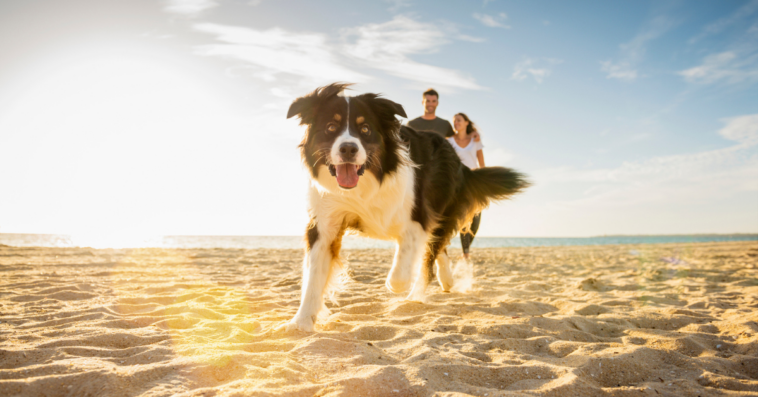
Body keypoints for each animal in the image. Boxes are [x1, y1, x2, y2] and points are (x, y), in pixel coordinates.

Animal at [284, 83, 528, 332]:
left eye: (365, 129)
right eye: (331, 127)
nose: (348, 149)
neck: (364, 185)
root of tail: (459, 161)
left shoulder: (418, 217)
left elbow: (403, 267)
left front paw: (397, 287)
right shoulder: (325, 224)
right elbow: (313, 276)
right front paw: (301, 321)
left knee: (430, 256)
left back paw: (415, 296)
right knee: (438, 249)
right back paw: (447, 280)